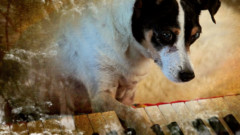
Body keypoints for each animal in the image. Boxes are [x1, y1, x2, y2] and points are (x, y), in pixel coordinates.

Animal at [0, 0, 220, 134]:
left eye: (195, 35)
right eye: (166, 34)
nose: (188, 76)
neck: (131, 49)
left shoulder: (129, 94)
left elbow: (132, 109)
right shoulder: (101, 97)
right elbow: (134, 115)